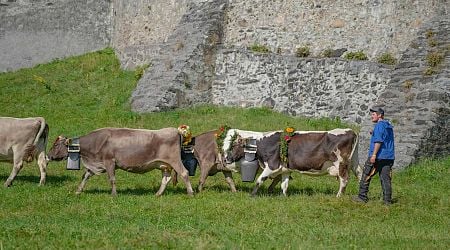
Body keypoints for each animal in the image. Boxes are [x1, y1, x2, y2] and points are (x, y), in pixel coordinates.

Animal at [47, 128, 193, 196]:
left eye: (55, 145)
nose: (48, 156)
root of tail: (175, 130)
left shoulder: (109, 161)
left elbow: (112, 179)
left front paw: (113, 194)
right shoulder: (96, 164)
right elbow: (85, 176)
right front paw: (78, 191)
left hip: (174, 160)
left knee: (184, 173)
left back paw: (190, 193)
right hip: (164, 165)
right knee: (166, 178)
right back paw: (157, 194)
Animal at [225, 129, 362, 197]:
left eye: (234, 146)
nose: (226, 158)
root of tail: (351, 131)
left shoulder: (273, 166)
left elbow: (259, 180)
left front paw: (252, 195)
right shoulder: (286, 169)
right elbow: (284, 185)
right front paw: (284, 197)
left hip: (341, 163)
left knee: (344, 179)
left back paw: (338, 196)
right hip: (354, 161)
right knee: (360, 174)